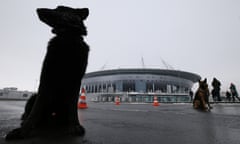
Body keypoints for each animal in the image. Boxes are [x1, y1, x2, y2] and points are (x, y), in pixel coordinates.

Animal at [5, 6, 90, 140]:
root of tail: (53, 113)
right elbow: (36, 109)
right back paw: (26, 121)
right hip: (33, 97)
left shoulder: (76, 81)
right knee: (30, 112)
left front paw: (75, 125)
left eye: (60, 9)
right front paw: (23, 131)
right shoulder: (46, 76)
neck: (67, 38)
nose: (38, 9)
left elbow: (73, 108)